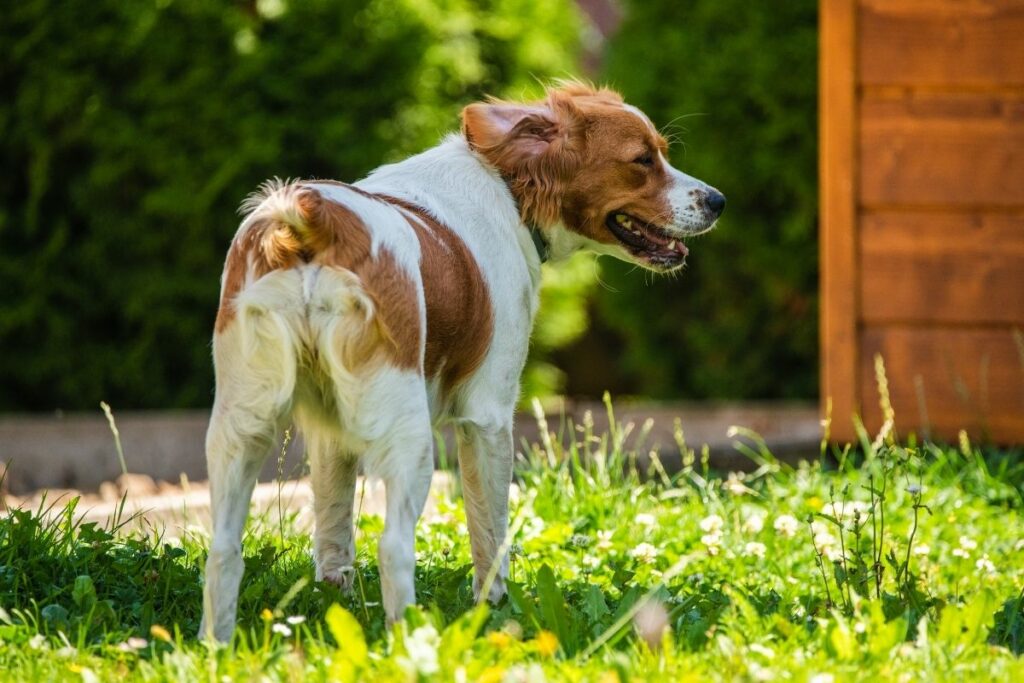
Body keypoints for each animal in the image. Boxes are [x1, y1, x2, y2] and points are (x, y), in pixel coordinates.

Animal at [199, 80, 724, 643]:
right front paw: (495, 608)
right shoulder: (488, 418)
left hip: (241, 424)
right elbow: (491, 531)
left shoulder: (330, 435)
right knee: (394, 548)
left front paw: (336, 604)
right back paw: (408, 641)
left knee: (224, 550)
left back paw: (218, 646)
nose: (719, 201)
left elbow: (333, 535)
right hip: (408, 436)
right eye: (643, 160)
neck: (509, 189)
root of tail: (315, 221)